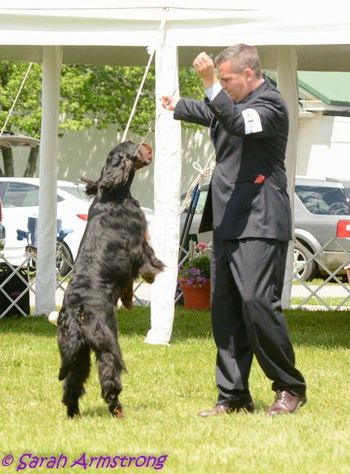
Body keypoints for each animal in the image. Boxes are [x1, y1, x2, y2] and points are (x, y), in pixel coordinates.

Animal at [57, 140, 165, 418]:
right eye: (136, 147)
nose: (149, 146)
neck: (112, 194)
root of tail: (77, 312)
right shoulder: (137, 243)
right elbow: (147, 260)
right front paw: (154, 273)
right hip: (107, 343)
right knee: (109, 376)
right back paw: (117, 410)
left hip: (78, 353)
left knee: (72, 383)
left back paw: (73, 413)